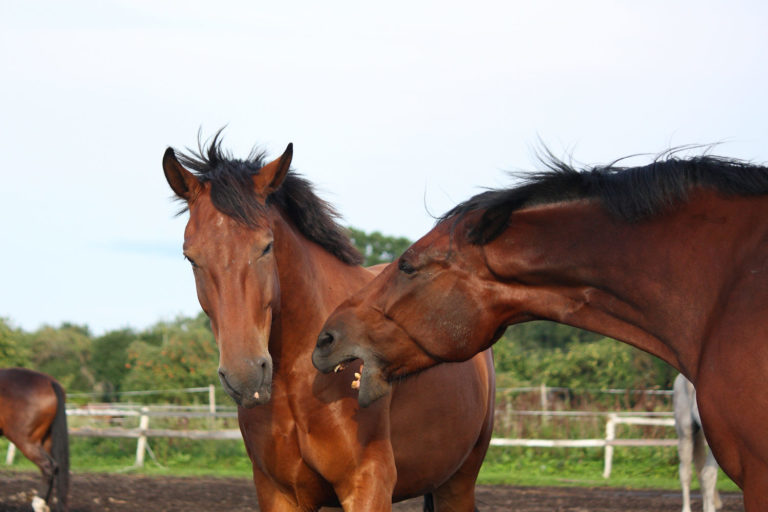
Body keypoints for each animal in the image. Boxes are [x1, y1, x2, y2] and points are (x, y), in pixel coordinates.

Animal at [162, 134, 495, 512]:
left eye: (267, 246)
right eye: (191, 257)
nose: (245, 377)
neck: (300, 379)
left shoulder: (368, 484)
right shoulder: (278, 492)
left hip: (458, 483)